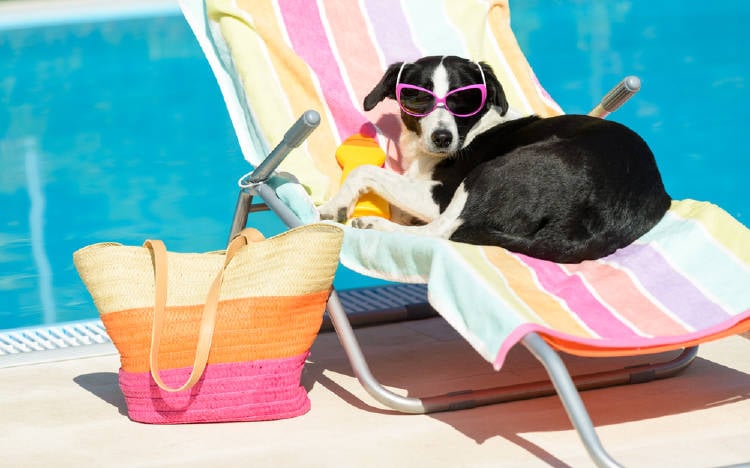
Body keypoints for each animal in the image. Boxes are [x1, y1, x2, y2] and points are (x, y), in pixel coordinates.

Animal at [320, 54, 672, 264]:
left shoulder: (436, 199)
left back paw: (374, 223)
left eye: (465, 99)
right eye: (417, 97)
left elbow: (364, 171)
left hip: (489, 173)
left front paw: (335, 205)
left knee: (442, 232)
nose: (443, 138)